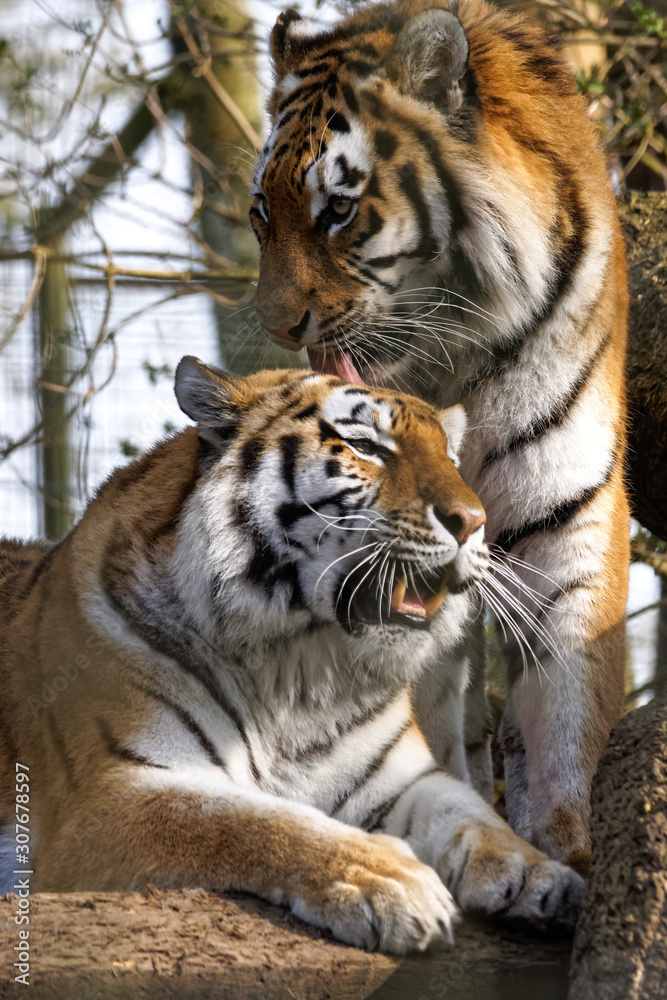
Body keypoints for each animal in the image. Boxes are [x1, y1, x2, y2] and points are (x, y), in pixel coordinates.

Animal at [0, 359, 583, 952]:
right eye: (365, 446)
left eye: (451, 459)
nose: (472, 520)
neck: (301, 669)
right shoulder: (106, 796)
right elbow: (248, 819)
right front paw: (390, 878)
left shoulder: (403, 779)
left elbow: (471, 812)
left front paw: (540, 875)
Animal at [250, 0, 629, 874]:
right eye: (261, 215)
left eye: (337, 211)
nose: (276, 325)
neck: (456, 342)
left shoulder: (566, 507)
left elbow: (565, 690)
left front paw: (562, 841)